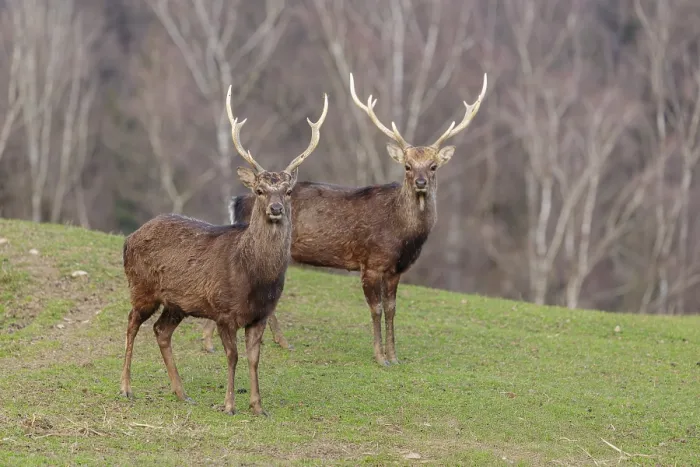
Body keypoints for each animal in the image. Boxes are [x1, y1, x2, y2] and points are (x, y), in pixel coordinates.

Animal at [119, 85, 328, 415]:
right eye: (259, 190)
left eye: (288, 191)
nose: (276, 208)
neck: (253, 276)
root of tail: (129, 238)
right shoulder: (223, 311)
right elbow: (232, 356)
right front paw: (229, 404)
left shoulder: (260, 315)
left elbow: (254, 358)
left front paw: (258, 406)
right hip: (142, 287)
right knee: (131, 324)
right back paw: (126, 388)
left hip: (177, 303)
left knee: (161, 331)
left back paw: (182, 393)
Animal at [202, 72, 487, 366]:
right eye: (407, 166)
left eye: (433, 166)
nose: (420, 182)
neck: (403, 235)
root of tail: (236, 200)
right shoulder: (371, 262)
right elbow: (376, 309)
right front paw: (380, 358)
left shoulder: (396, 269)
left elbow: (392, 309)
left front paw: (394, 356)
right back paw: (212, 343)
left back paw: (280, 342)